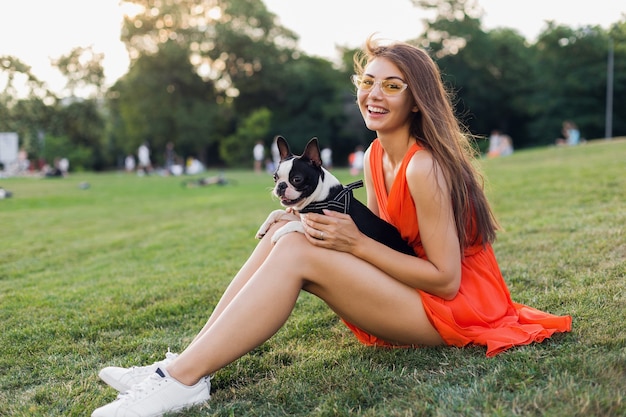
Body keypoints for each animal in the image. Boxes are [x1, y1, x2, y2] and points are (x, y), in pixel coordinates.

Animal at [254, 136, 414, 255]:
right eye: (275, 177)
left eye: (296, 179)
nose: (281, 186)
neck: (322, 197)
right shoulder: (304, 217)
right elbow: (277, 212)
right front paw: (263, 228)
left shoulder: (322, 228)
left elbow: (293, 223)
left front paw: (277, 233)